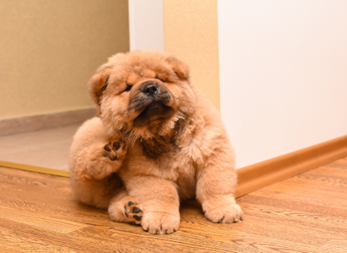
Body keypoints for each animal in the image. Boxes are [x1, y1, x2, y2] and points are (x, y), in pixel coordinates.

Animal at [68, 50, 245, 234]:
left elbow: (214, 185)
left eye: (160, 78)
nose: (150, 88)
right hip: (91, 140)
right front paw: (161, 220)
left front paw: (224, 209)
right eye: (127, 88)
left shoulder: (213, 152)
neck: (164, 131)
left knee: (113, 202)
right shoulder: (149, 173)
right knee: (85, 170)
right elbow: (162, 195)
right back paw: (109, 152)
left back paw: (131, 209)